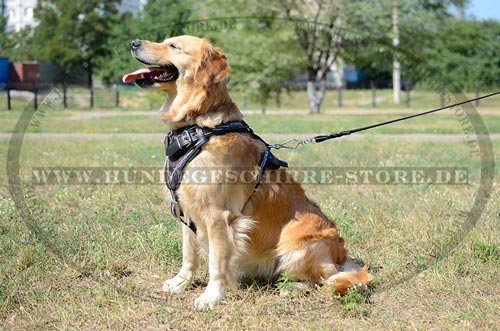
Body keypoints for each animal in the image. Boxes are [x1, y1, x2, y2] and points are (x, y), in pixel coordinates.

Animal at [123, 35, 370, 310]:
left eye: (174, 46)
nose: (134, 42)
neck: (198, 126)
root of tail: (342, 255)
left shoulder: (218, 215)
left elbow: (216, 263)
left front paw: (211, 296)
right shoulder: (187, 209)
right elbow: (189, 255)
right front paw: (180, 283)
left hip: (298, 244)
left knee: (323, 279)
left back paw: (292, 287)